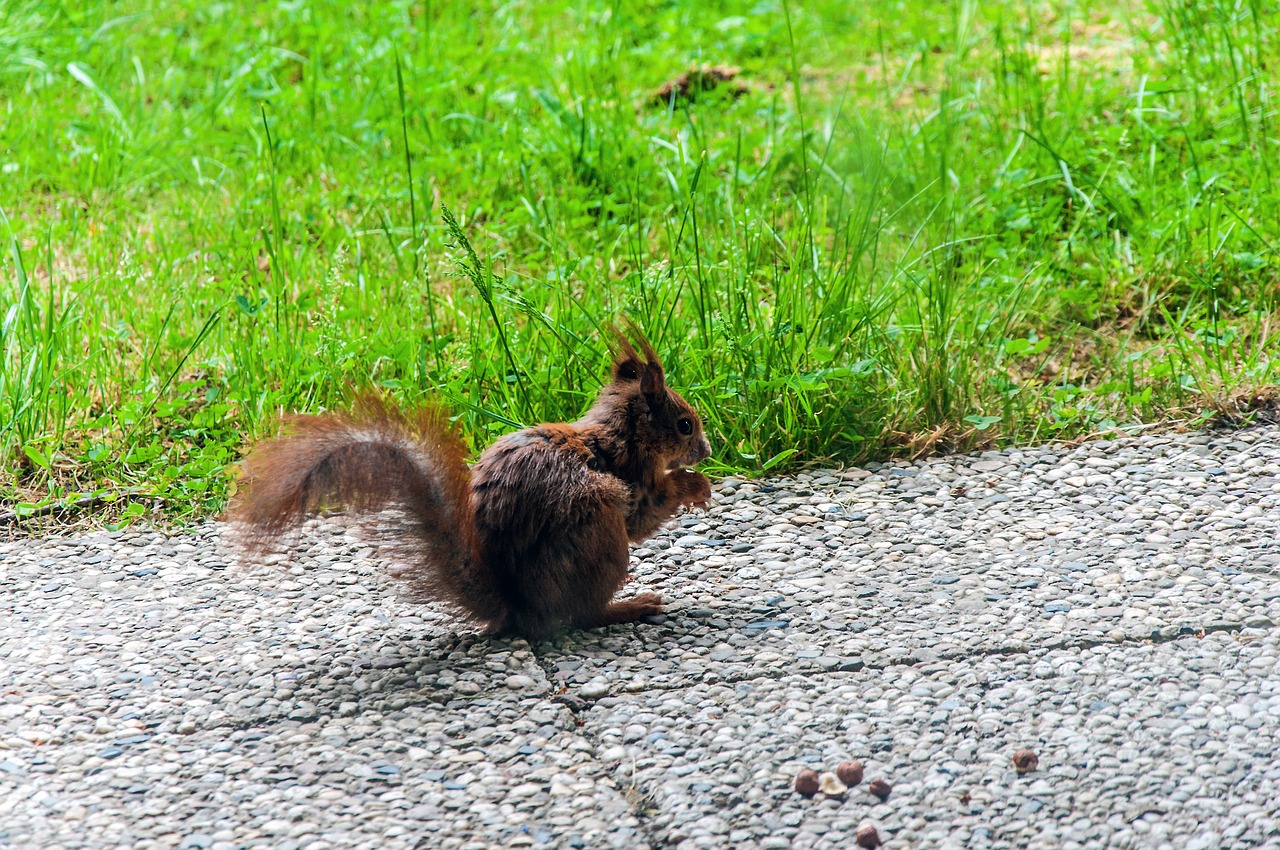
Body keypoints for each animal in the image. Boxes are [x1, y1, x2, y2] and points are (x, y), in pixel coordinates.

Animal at [227, 330, 711, 637]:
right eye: (685, 425)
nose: (706, 450)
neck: (619, 434)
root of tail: (519, 609)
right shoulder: (632, 479)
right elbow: (645, 514)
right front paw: (696, 486)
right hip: (597, 525)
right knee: (581, 616)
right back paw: (631, 607)